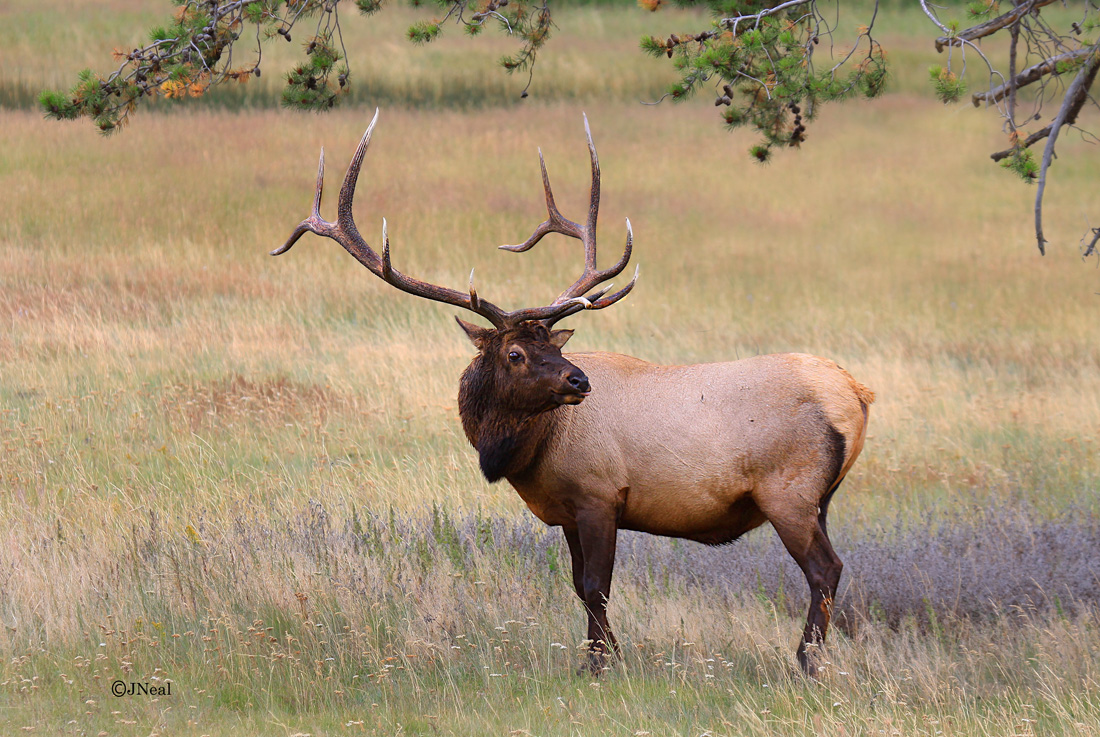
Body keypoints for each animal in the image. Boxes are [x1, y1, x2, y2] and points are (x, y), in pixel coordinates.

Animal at [273, 110, 875, 676]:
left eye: (550, 345)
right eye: (516, 353)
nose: (579, 380)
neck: (528, 453)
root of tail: (856, 394)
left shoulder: (599, 495)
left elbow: (595, 587)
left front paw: (602, 664)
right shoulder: (565, 512)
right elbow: (577, 586)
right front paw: (598, 656)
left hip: (788, 492)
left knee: (826, 570)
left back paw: (806, 663)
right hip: (820, 499)